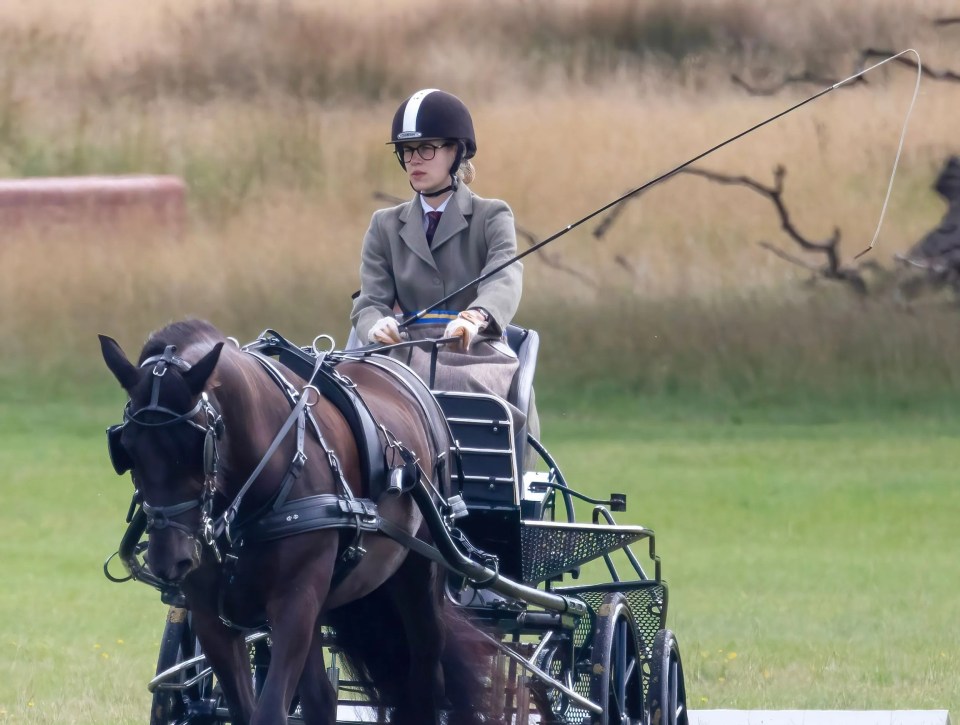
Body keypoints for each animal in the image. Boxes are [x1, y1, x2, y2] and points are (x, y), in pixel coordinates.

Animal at [99, 320, 488, 724]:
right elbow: (246, 708)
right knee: (322, 697)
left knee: (426, 677)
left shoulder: (294, 601)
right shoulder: (211, 615)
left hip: (419, 581)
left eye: (198, 445)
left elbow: (269, 711)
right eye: (126, 446)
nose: (169, 559)